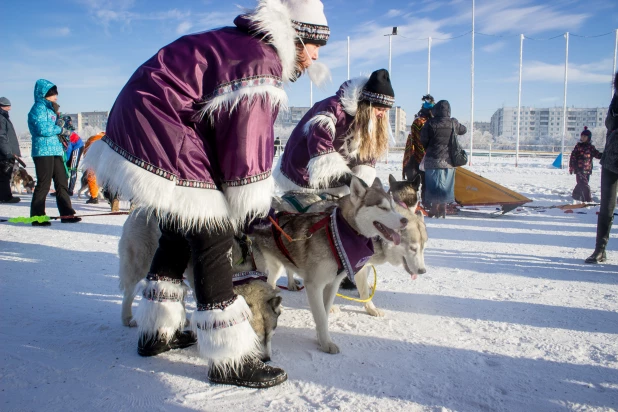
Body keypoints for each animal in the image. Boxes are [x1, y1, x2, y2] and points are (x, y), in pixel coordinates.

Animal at [117, 212, 282, 360]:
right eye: (255, 336)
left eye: (271, 335)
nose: (266, 359)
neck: (240, 271)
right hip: (140, 265)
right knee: (129, 293)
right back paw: (127, 318)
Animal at [253, 177, 406, 354]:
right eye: (382, 207)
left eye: (393, 207)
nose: (405, 220)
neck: (338, 234)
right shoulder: (314, 285)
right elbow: (320, 316)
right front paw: (326, 343)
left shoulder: (333, 283)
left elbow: (324, 314)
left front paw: (321, 339)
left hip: (276, 267)